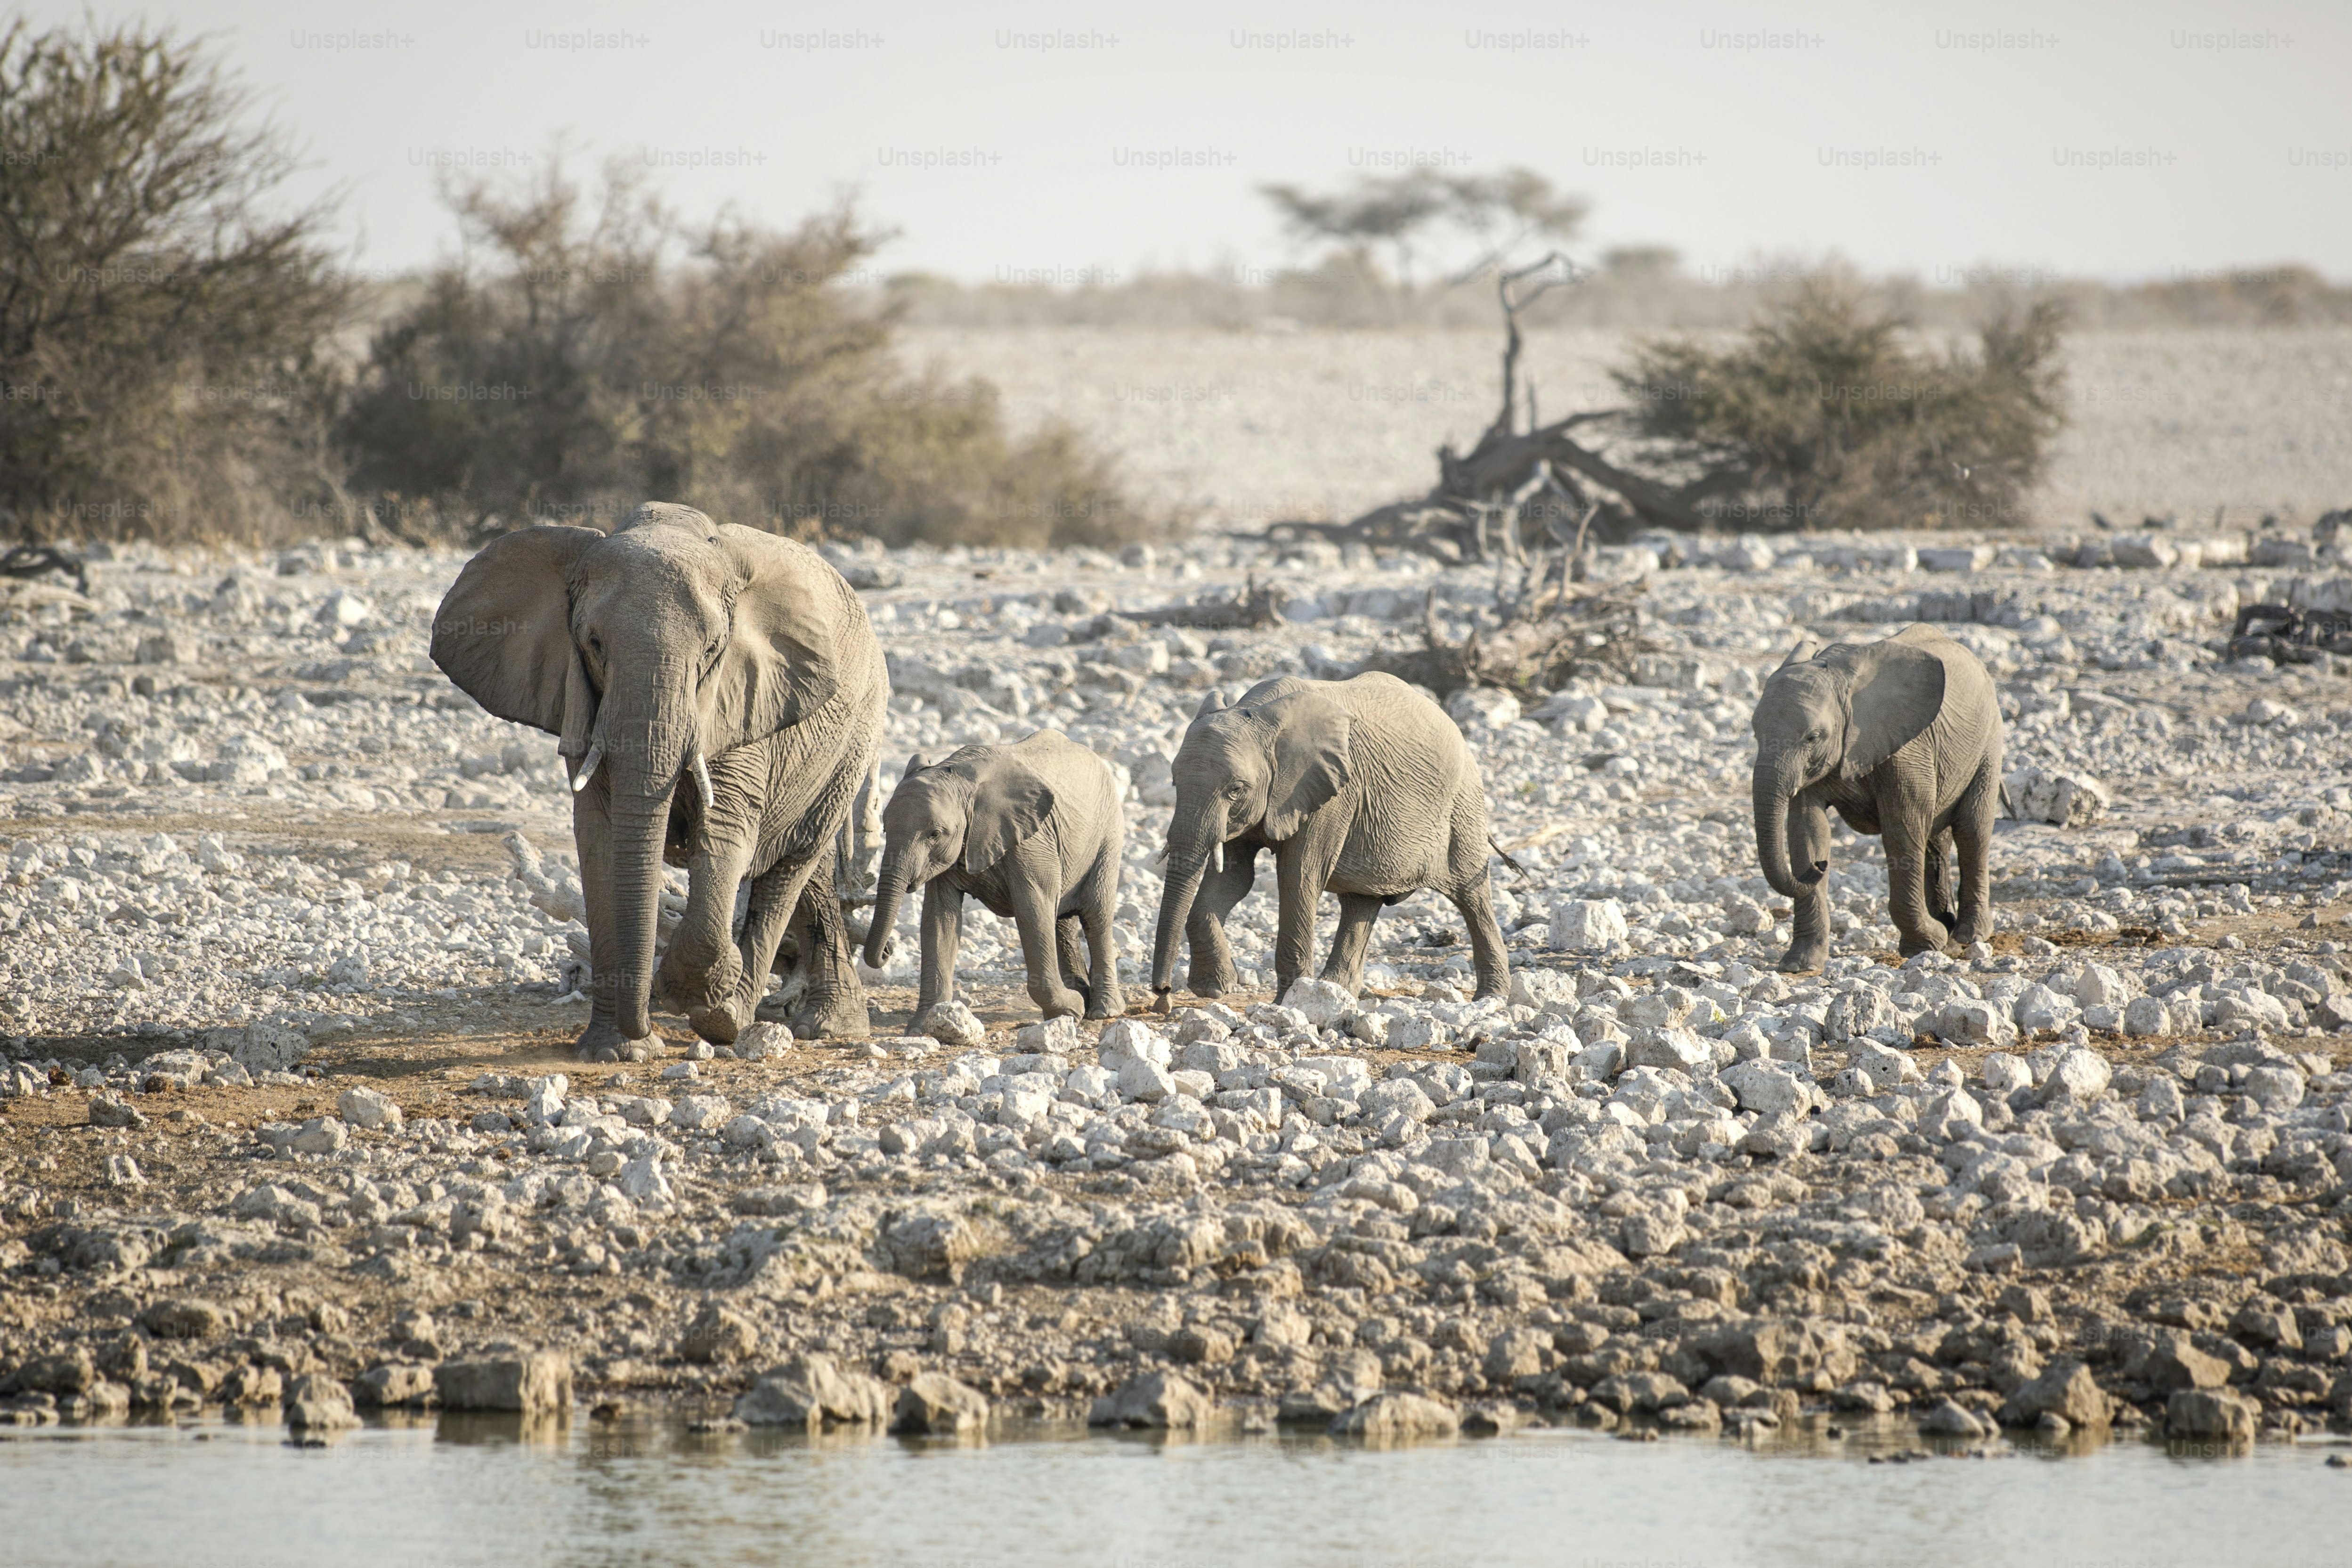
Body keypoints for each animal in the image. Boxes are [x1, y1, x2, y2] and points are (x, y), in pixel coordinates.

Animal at [431, 502, 887, 1059]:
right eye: (593, 643)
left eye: (713, 648)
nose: (643, 1027)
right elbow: (601, 837)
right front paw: (615, 1052)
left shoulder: (741, 697)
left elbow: (726, 828)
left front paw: (688, 996)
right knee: (810, 872)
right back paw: (818, 1023)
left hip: (857, 732)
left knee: (792, 862)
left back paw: (737, 1021)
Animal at [862, 730, 1125, 1029]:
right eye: (885, 828)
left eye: (934, 834)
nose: (887, 951)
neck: (958, 777)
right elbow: (939, 919)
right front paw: (922, 1027)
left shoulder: (1032, 840)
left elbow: (1033, 910)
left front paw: (1072, 1009)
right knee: (1063, 920)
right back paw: (1080, 1000)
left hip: (1108, 833)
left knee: (1096, 914)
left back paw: (1104, 1011)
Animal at [1150, 672, 1510, 1006]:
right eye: (1174, 782)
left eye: (1236, 789)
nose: (1163, 994)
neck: (1261, 715)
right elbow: (1236, 877)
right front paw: (1215, 989)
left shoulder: (1331, 793)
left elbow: (1298, 875)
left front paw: (1288, 1003)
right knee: (1361, 901)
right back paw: (1338, 992)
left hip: (1463, 804)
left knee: (1472, 894)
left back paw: (1490, 998)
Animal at [1751, 622, 2004, 973]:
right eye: (1754, 732)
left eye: (1813, 737)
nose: (1821, 866)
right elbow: (1808, 829)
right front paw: (1799, 965)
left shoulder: (1907, 750)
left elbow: (1902, 830)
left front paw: (1925, 945)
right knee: (1936, 838)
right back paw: (1949, 932)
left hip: (1988, 742)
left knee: (1972, 830)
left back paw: (1968, 936)